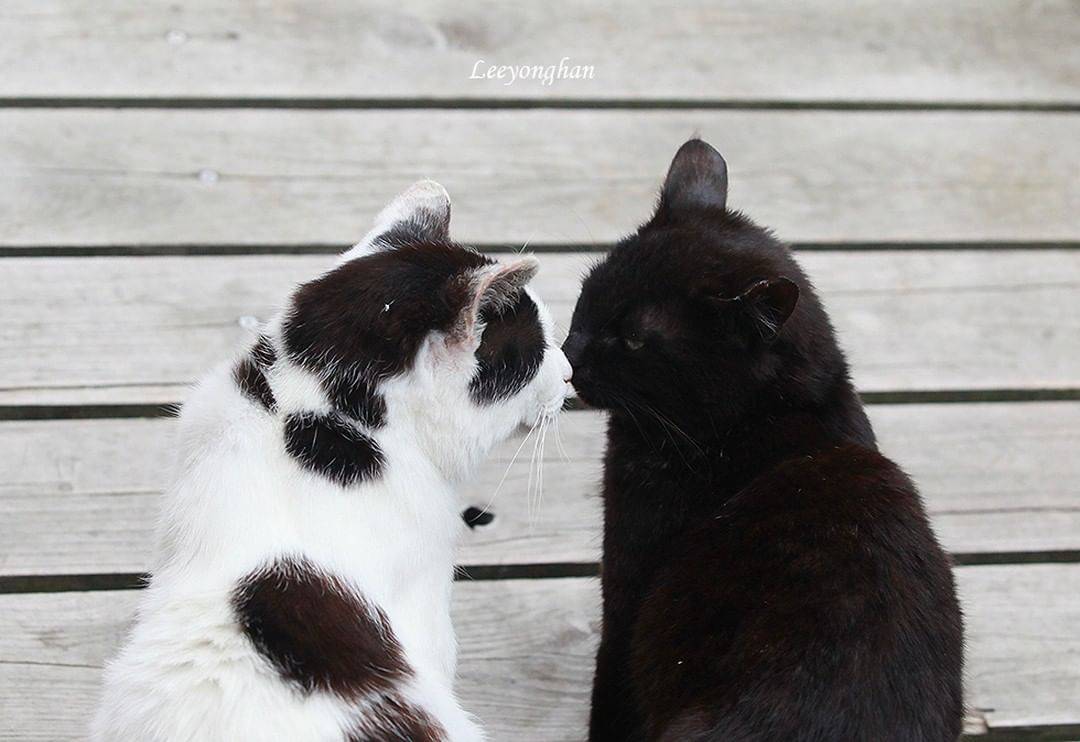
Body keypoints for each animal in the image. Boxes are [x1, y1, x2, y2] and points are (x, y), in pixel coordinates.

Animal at [565, 139, 963, 742]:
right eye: (589, 295)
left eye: (633, 339)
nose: (567, 353)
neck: (758, 420)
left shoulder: (628, 593)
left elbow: (610, 695)